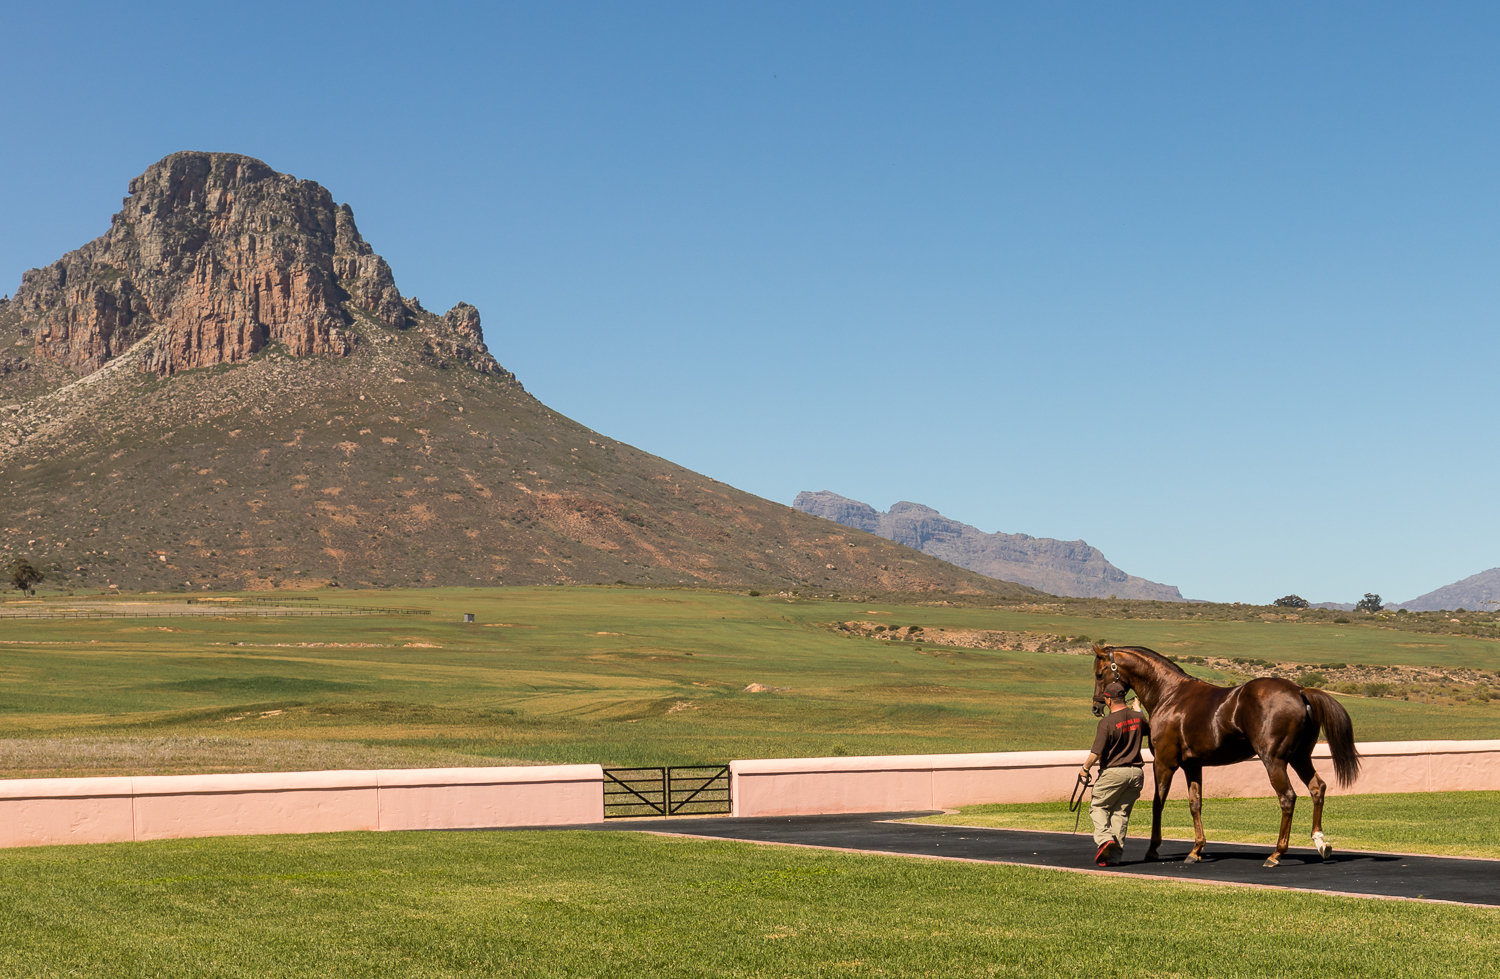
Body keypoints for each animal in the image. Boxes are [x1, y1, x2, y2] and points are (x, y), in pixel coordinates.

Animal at [1092, 644, 1362, 869]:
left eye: (1099, 674)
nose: (1096, 706)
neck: (1169, 695)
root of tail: (1299, 690)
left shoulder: (1164, 762)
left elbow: (1158, 803)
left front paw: (1153, 849)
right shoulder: (1193, 766)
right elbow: (1195, 804)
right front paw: (1196, 850)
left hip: (1274, 760)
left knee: (1287, 797)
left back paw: (1276, 854)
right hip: (1299, 757)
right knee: (1317, 788)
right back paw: (1320, 842)